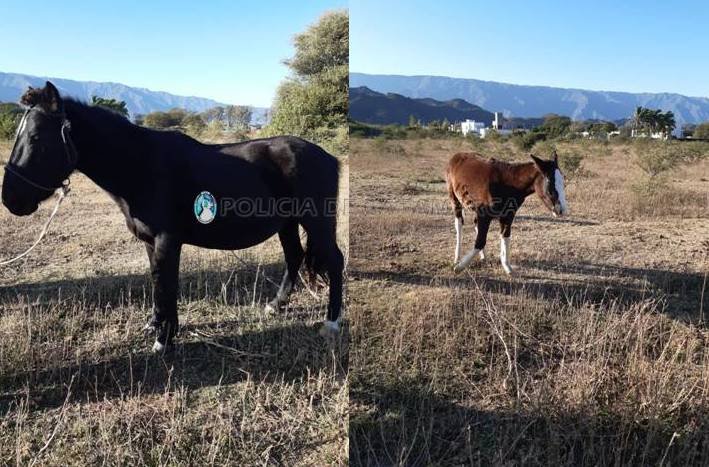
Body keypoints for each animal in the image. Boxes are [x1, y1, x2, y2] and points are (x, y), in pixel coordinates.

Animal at [0, 81, 342, 352]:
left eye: (36, 138)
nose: (11, 199)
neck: (141, 166)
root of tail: (327, 156)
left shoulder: (167, 241)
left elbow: (166, 285)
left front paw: (163, 341)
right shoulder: (151, 242)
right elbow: (158, 283)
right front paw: (157, 325)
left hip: (317, 222)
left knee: (334, 260)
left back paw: (332, 323)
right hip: (287, 223)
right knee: (294, 256)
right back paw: (275, 306)